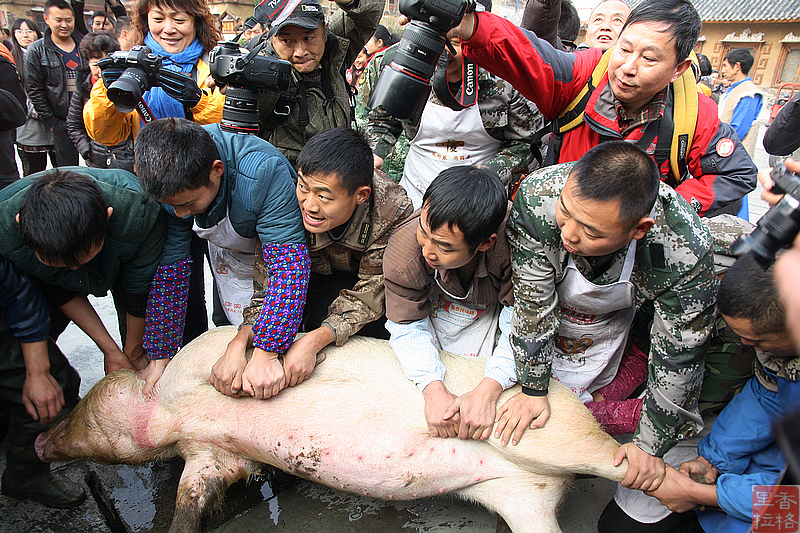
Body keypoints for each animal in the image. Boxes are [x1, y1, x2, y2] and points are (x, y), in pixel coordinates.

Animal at [36, 324, 624, 532]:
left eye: (83, 402)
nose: (41, 437)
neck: (168, 411)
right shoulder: (210, 454)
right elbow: (192, 495)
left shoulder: (196, 360)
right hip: (521, 497)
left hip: (559, 435)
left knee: (615, 457)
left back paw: (651, 472)